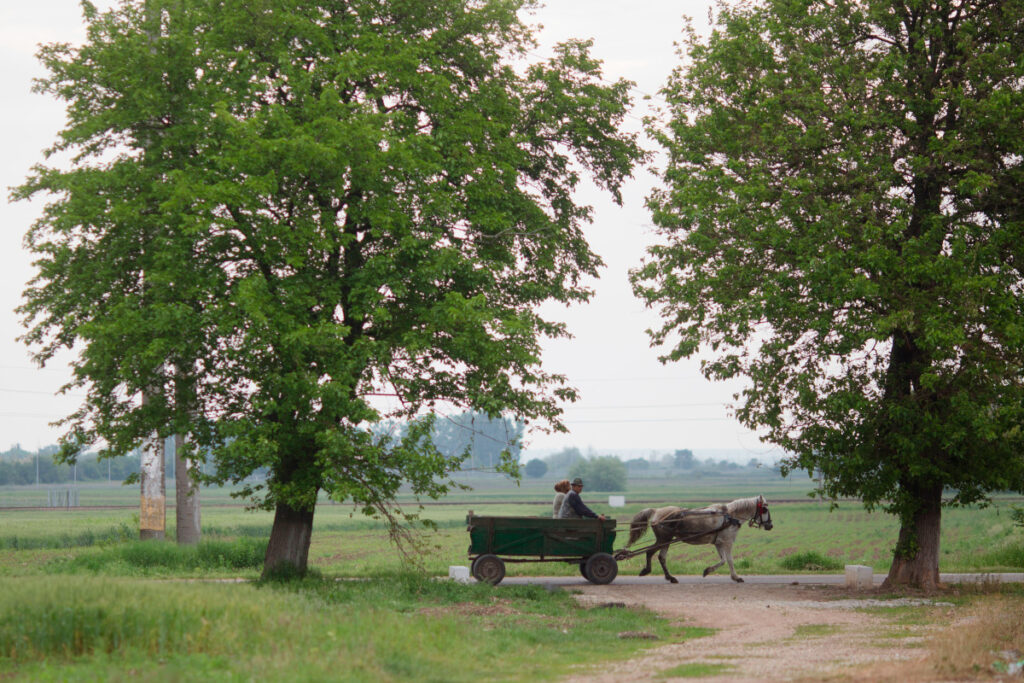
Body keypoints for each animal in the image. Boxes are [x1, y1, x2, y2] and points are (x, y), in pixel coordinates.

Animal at [618, 493, 770, 585]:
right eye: (765, 509)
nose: (770, 525)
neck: (730, 516)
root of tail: (656, 511)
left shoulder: (718, 543)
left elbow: (723, 560)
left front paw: (708, 571)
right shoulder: (727, 542)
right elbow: (730, 560)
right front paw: (736, 577)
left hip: (666, 540)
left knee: (661, 557)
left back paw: (670, 577)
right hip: (664, 539)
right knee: (651, 552)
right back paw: (649, 571)